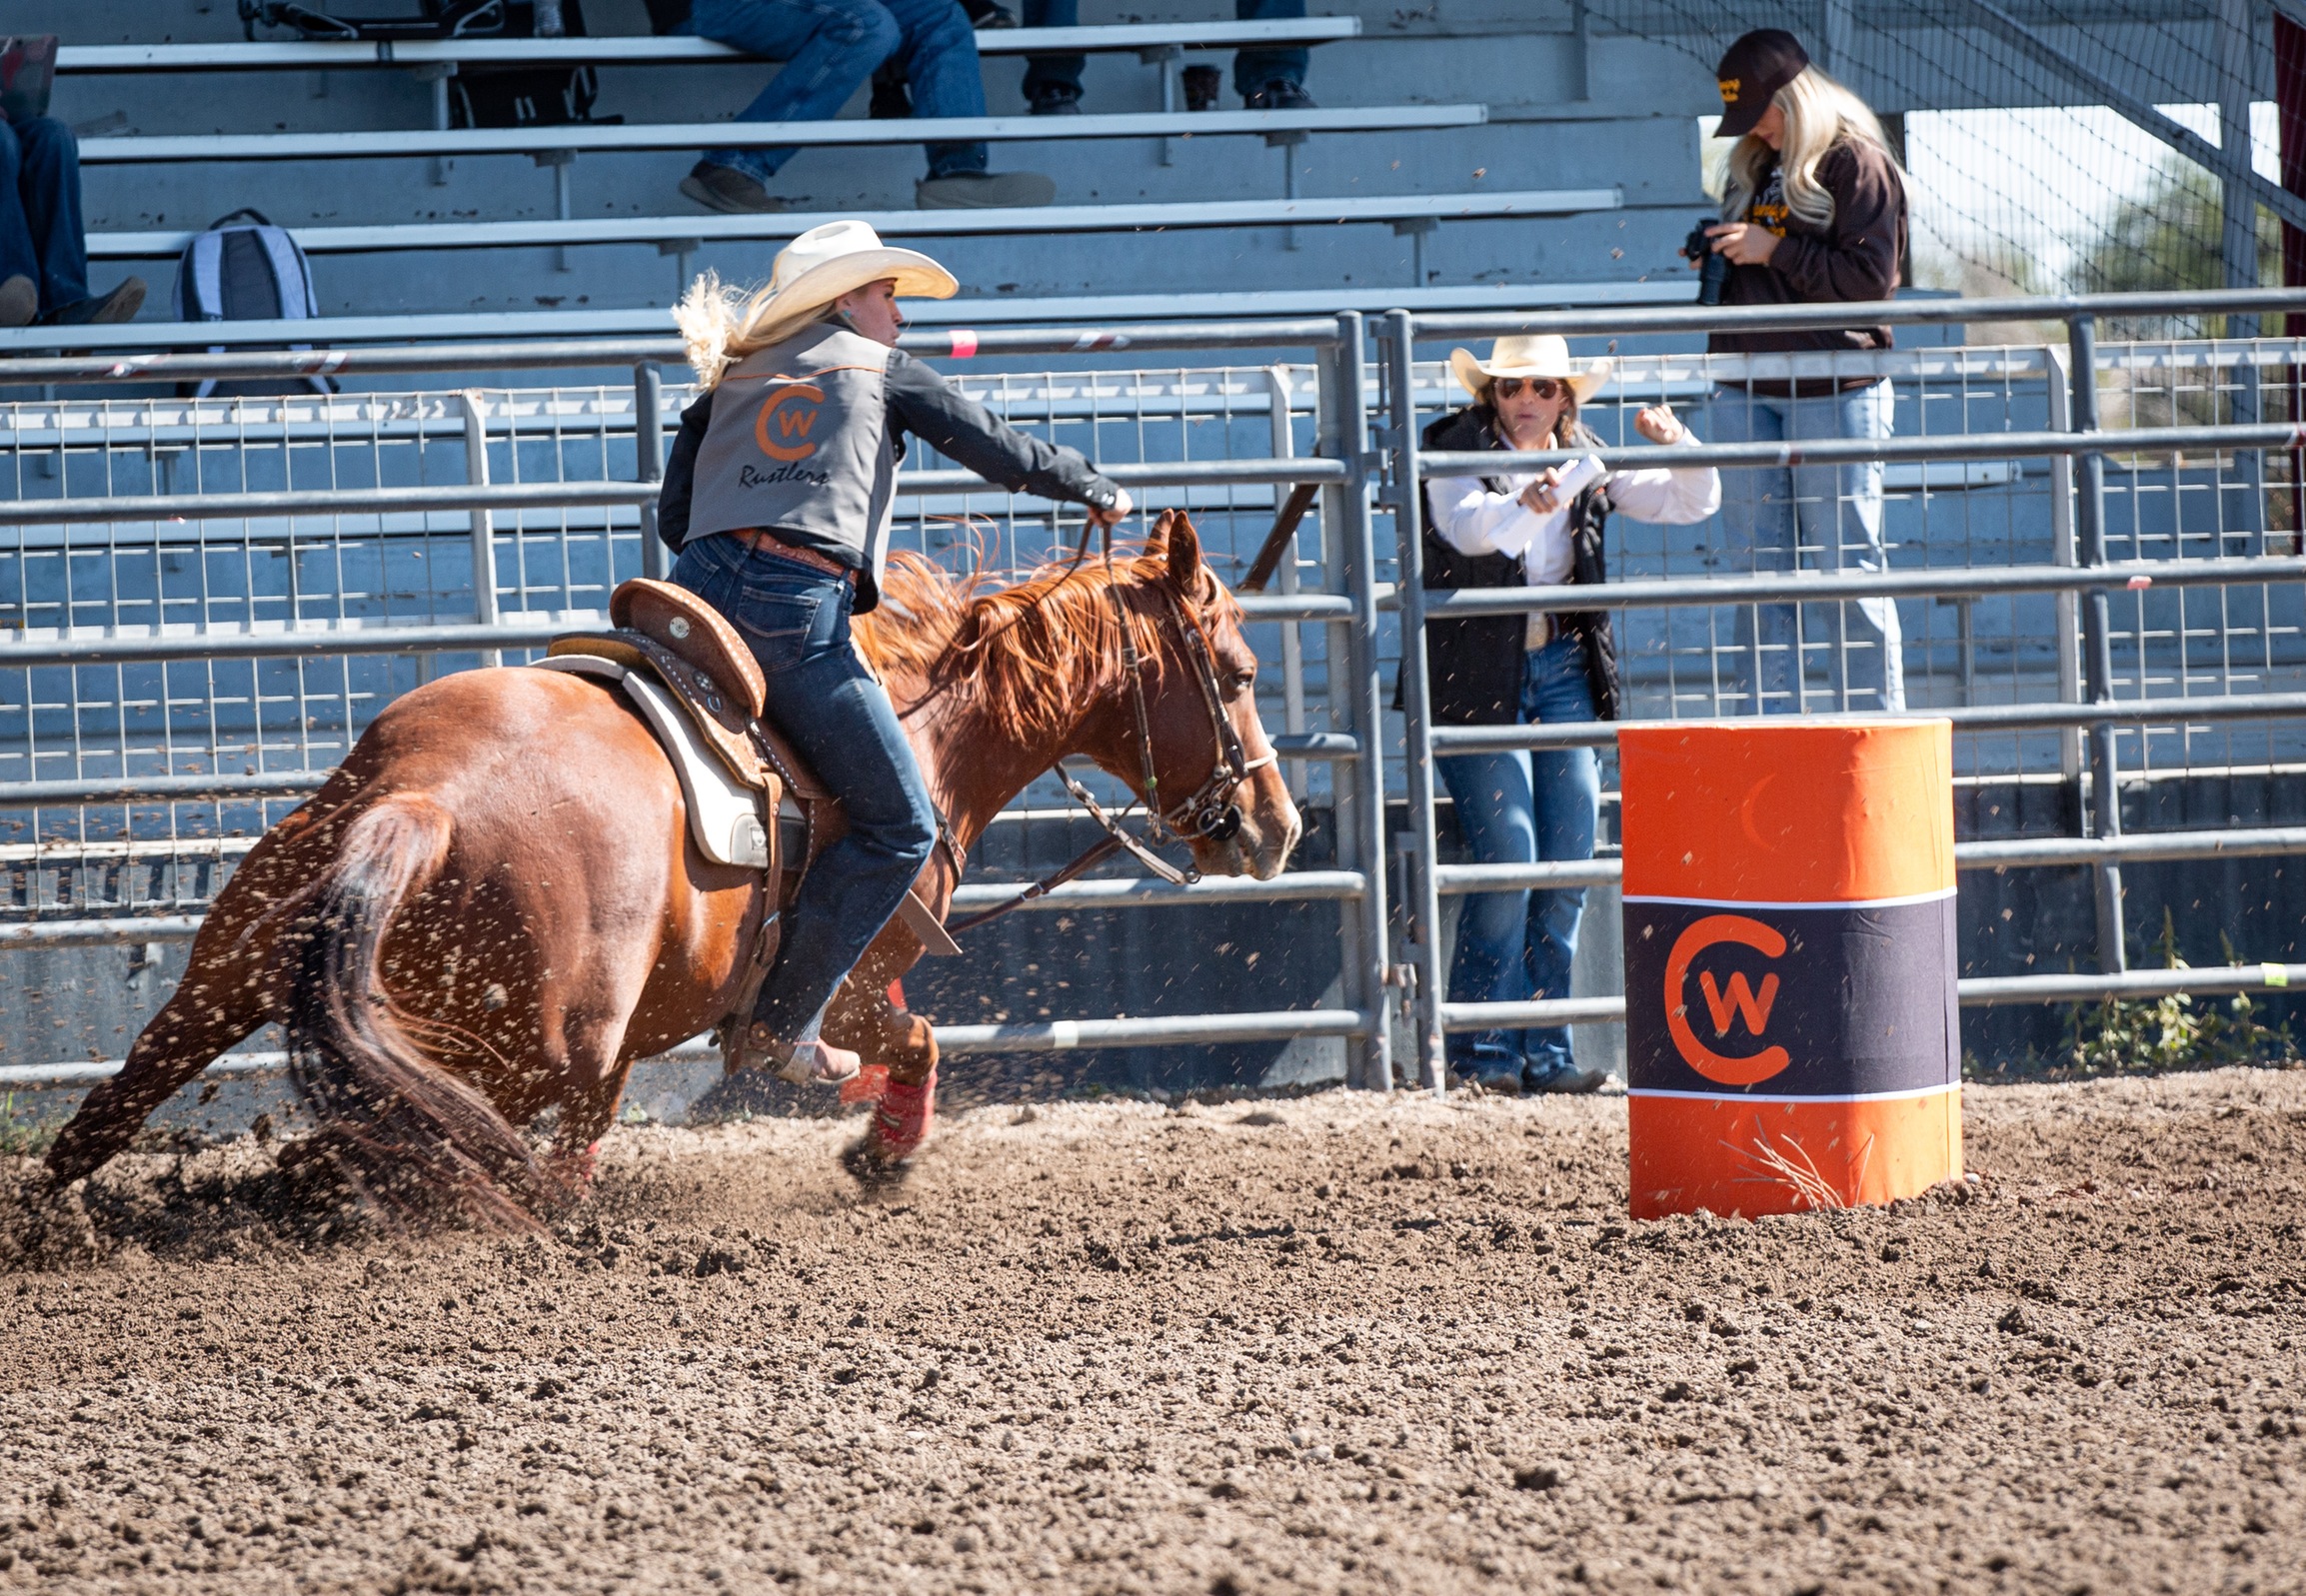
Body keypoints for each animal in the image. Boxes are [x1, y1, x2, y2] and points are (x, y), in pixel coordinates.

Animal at [40, 512, 1300, 1217]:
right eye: (1240, 671)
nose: (1276, 826)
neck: (928, 725)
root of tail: (422, 800)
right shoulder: (852, 972)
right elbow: (915, 1036)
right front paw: (882, 1157)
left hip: (226, 977)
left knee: (103, 1118)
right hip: (533, 1050)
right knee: (424, 1146)